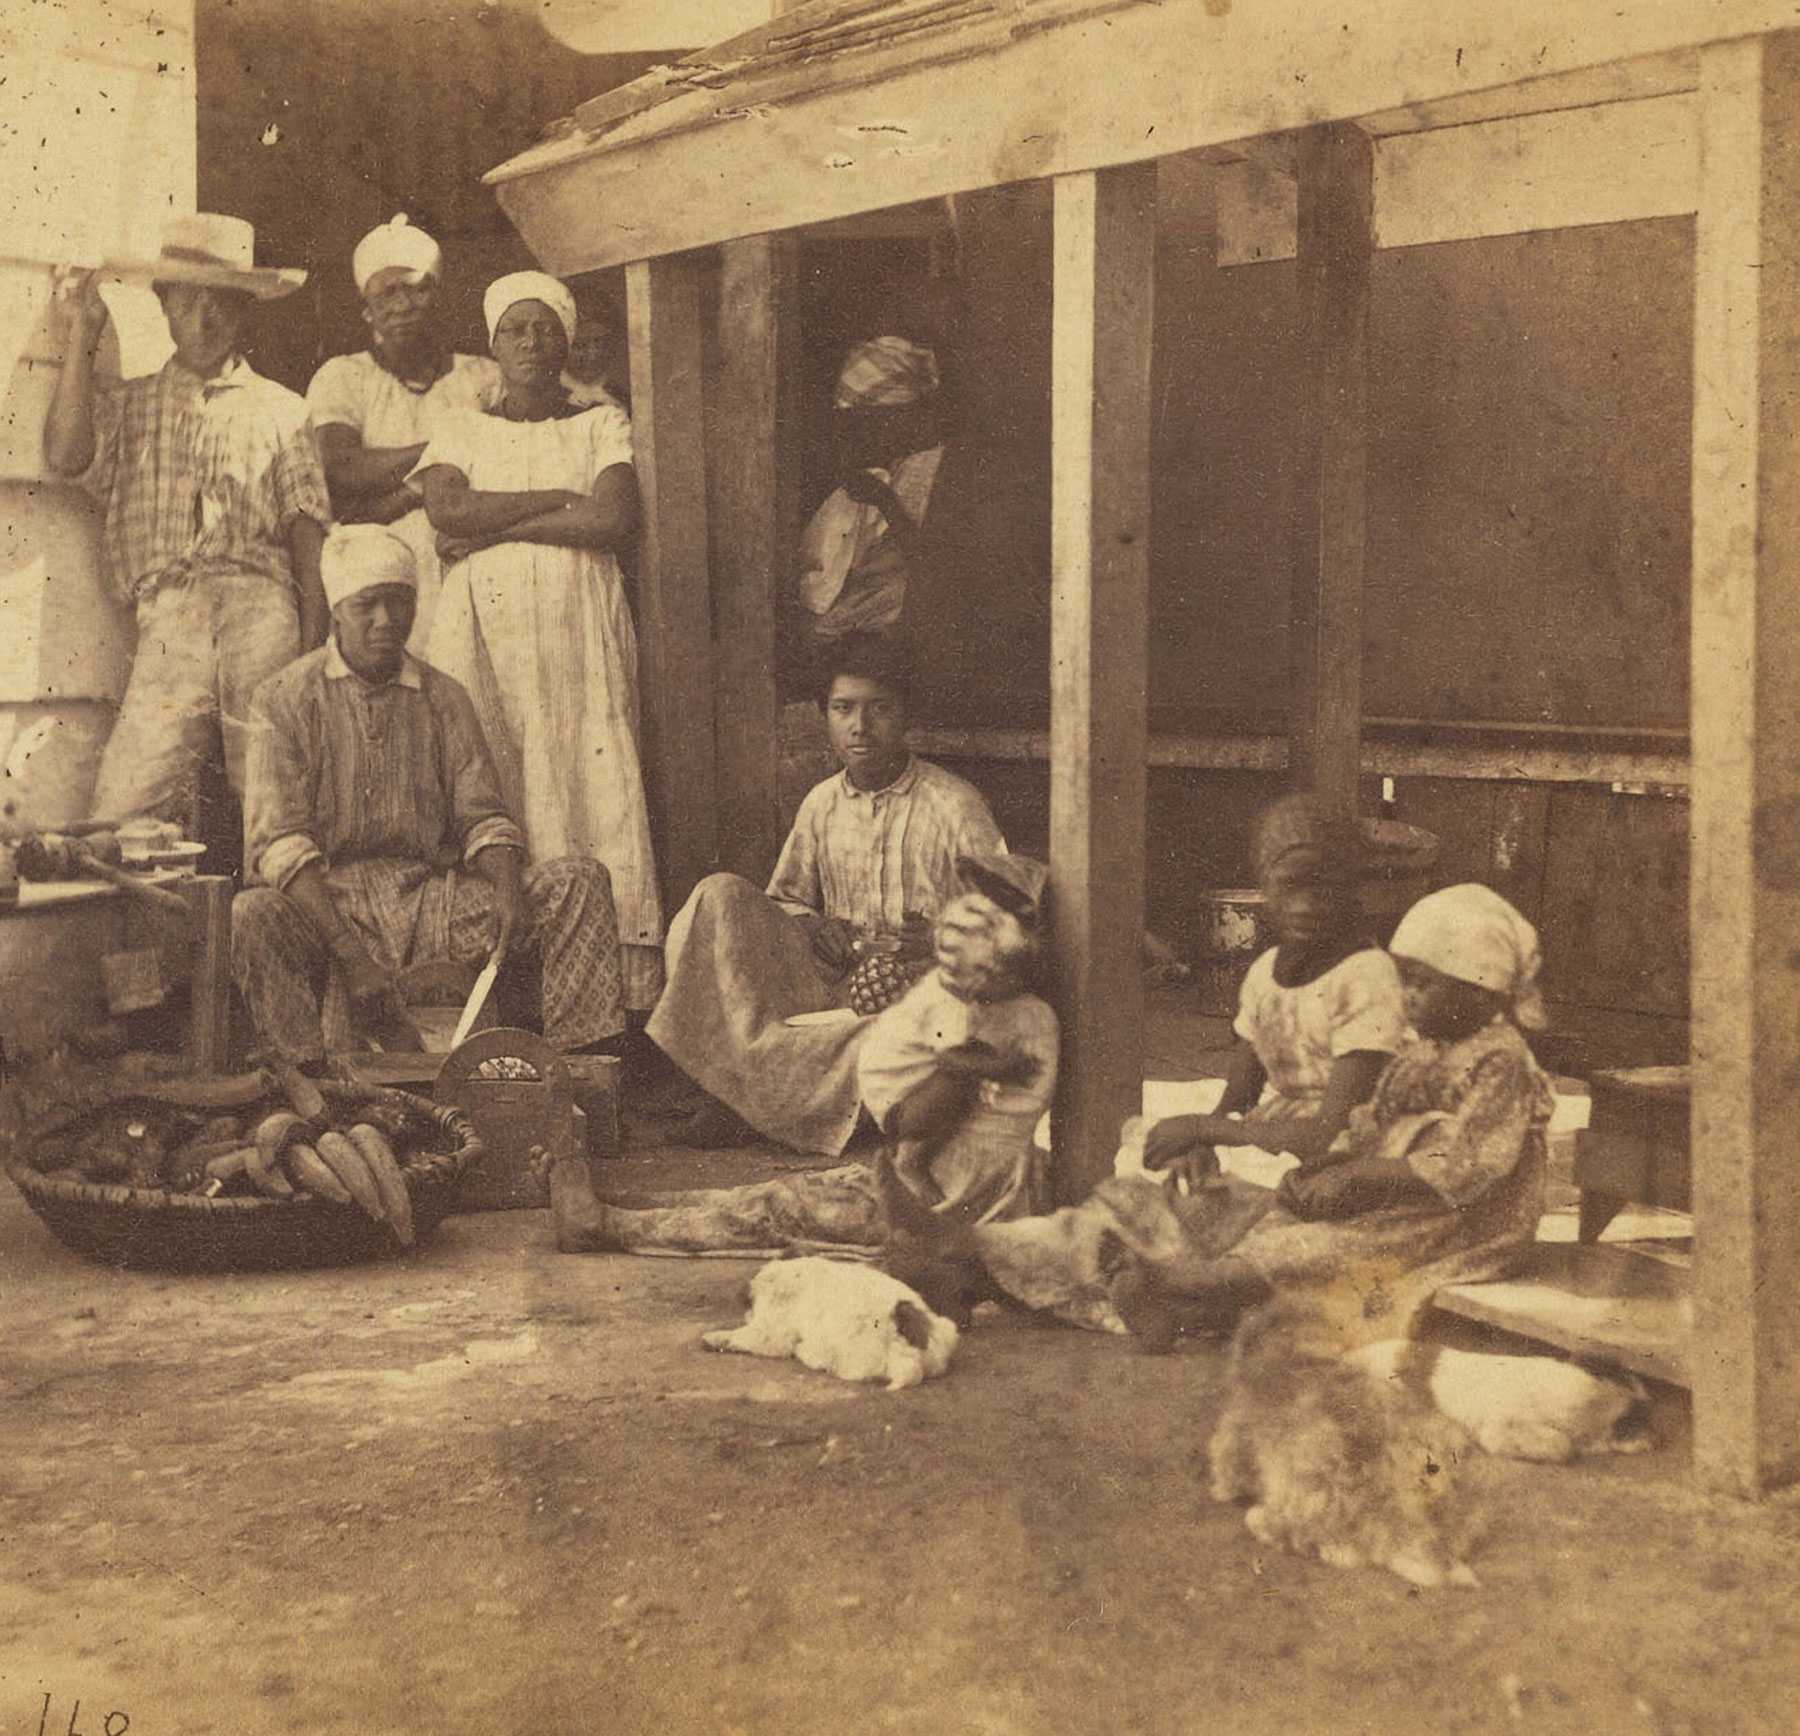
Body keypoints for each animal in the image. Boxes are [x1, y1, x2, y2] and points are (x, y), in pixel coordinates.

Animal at [1202, 1289, 1483, 1584]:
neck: (1294, 1349)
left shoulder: (1237, 1430)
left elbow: (1226, 1459)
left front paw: (1221, 1490)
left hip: (1305, 1483)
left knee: (1299, 1535)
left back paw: (1259, 1520)